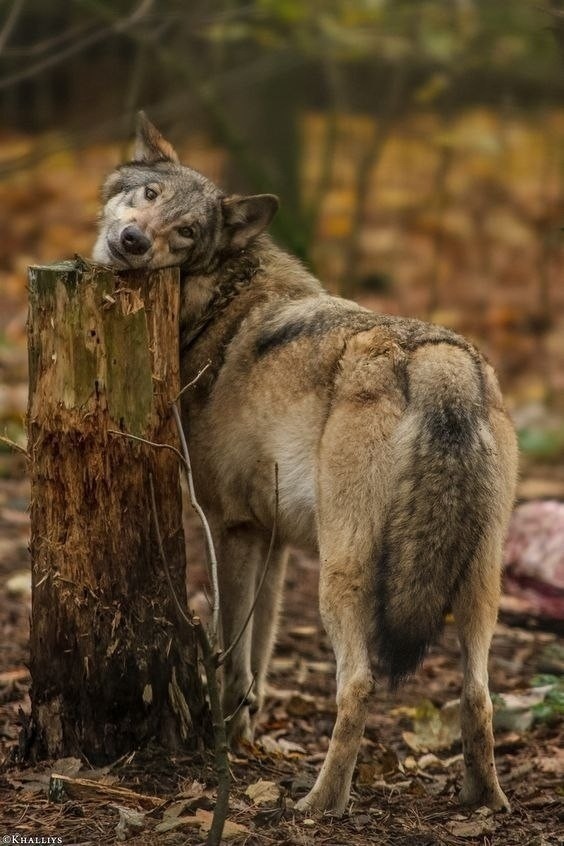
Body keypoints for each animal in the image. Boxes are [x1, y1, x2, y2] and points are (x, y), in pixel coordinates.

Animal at [93, 112, 520, 816]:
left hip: (340, 578)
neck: (218, 299)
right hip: (480, 584)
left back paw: (321, 803)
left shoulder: (229, 529)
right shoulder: (271, 540)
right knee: (479, 695)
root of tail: (437, 358)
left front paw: (225, 742)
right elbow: (258, 657)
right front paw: (243, 733)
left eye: (187, 233)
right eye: (150, 195)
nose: (131, 241)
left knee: (360, 684)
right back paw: (482, 801)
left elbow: (229, 651)